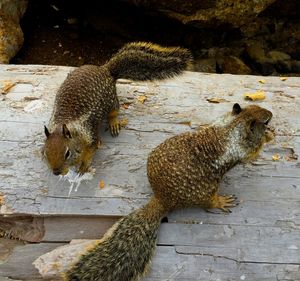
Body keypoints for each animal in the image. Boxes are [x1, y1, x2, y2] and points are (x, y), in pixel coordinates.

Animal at [42, 41, 192, 175]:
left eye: (67, 153)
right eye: (45, 152)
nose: (56, 172)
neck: (64, 124)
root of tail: (105, 70)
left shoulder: (89, 134)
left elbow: (91, 149)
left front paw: (84, 164)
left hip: (111, 100)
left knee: (114, 111)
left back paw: (113, 123)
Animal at [62, 101, 274, 278]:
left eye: (256, 106)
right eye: (265, 120)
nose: (271, 114)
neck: (233, 125)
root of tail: (162, 199)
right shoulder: (244, 148)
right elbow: (252, 153)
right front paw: (269, 136)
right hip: (208, 190)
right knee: (209, 203)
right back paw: (220, 201)